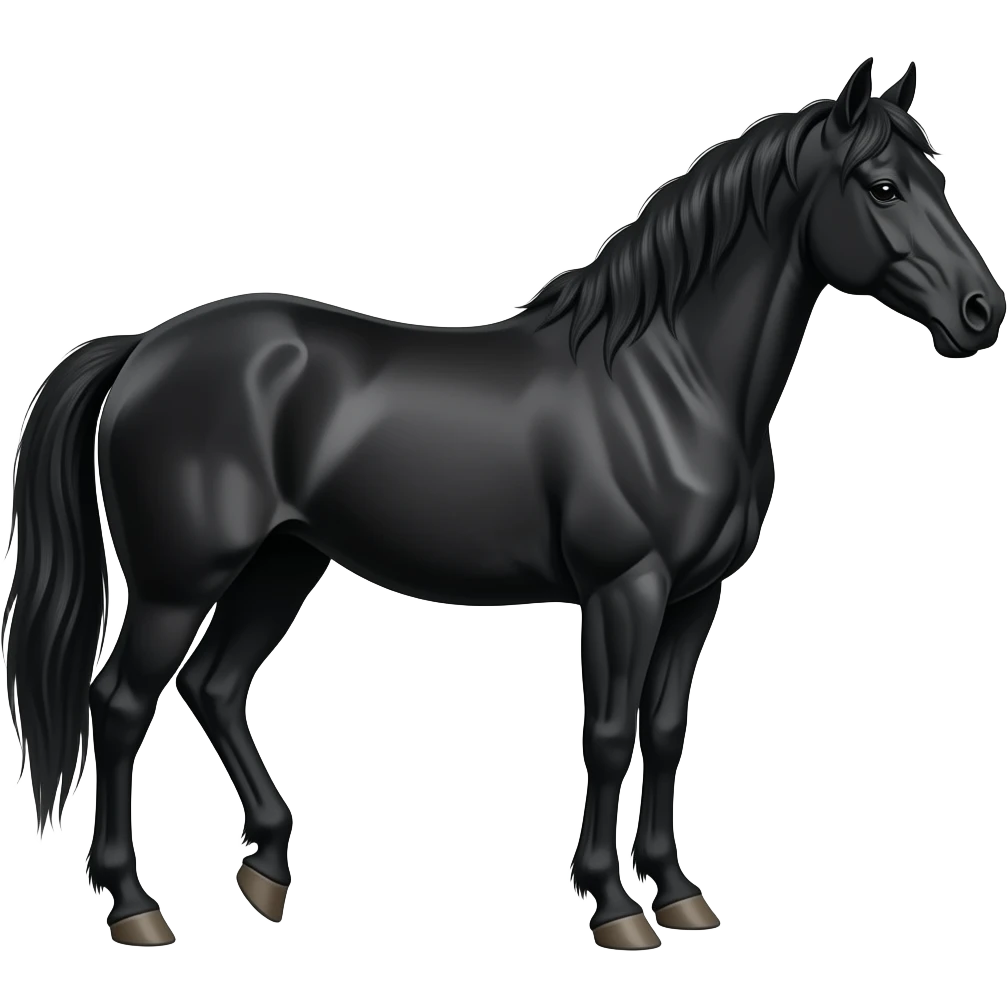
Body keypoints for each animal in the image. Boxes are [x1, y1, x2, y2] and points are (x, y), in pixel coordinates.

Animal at [2, 57, 1002, 950]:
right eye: (882, 186)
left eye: (939, 177)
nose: (981, 311)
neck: (667, 377)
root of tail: (142, 349)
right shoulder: (624, 589)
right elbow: (609, 734)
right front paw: (616, 907)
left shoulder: (695, 595)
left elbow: (666, 730)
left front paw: (679, 892)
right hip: (180, 584)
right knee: (119, 704)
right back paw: (135, 907)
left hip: (284, 562)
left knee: (214, 686)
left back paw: (268, 872)